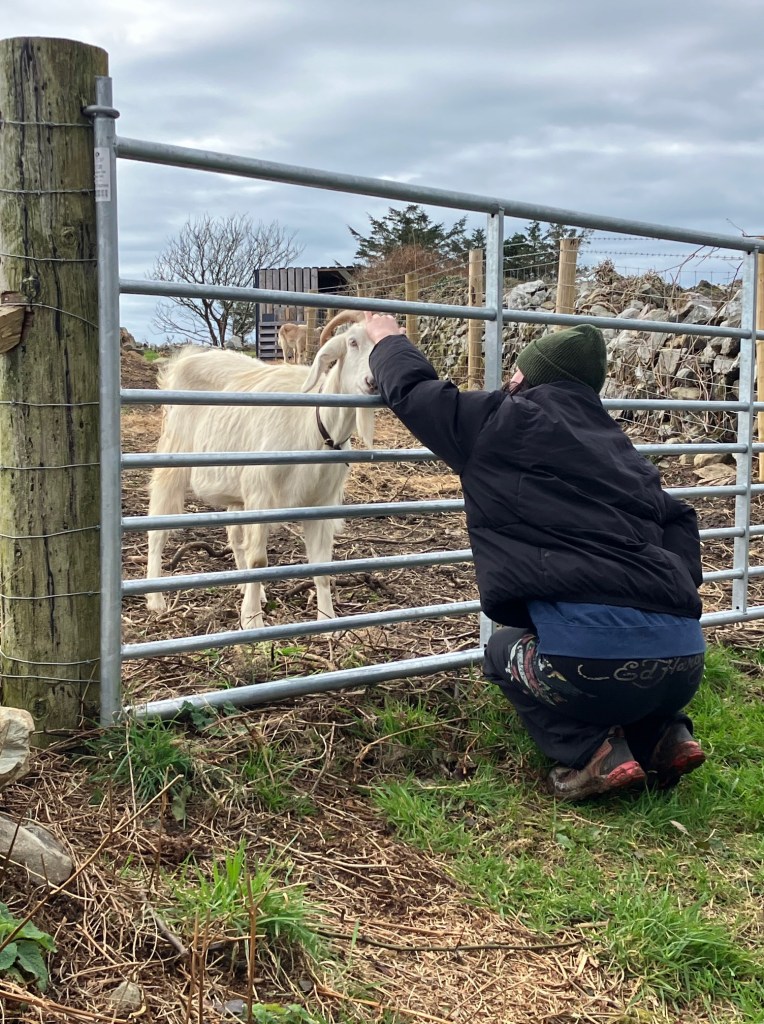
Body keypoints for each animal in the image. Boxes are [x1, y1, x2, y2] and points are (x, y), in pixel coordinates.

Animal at [145, 309, 376, 630]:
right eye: (353, 342)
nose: (372, 381)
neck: (315, 427)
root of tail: (184, 360)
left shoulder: (320, 504)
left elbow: (322, 566)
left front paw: (327, 621)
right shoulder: (261, 494)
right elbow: (258, 561)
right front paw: (252, 621)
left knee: (234, 536)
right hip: (174, 457)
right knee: (158, 528)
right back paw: (155, 599)